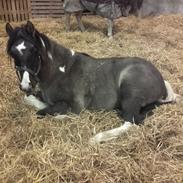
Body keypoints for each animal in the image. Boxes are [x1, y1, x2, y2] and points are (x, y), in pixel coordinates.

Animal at [5, 21, 180, 144]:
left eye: (33, 50)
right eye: (12, 53)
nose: (25, 85)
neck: (60, 71)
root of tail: (161, 80)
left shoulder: (75, 105)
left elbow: (42, 113)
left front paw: (61, 117)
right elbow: (31, 101)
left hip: (131, 93)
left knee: (131, 122)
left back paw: (96, 138)